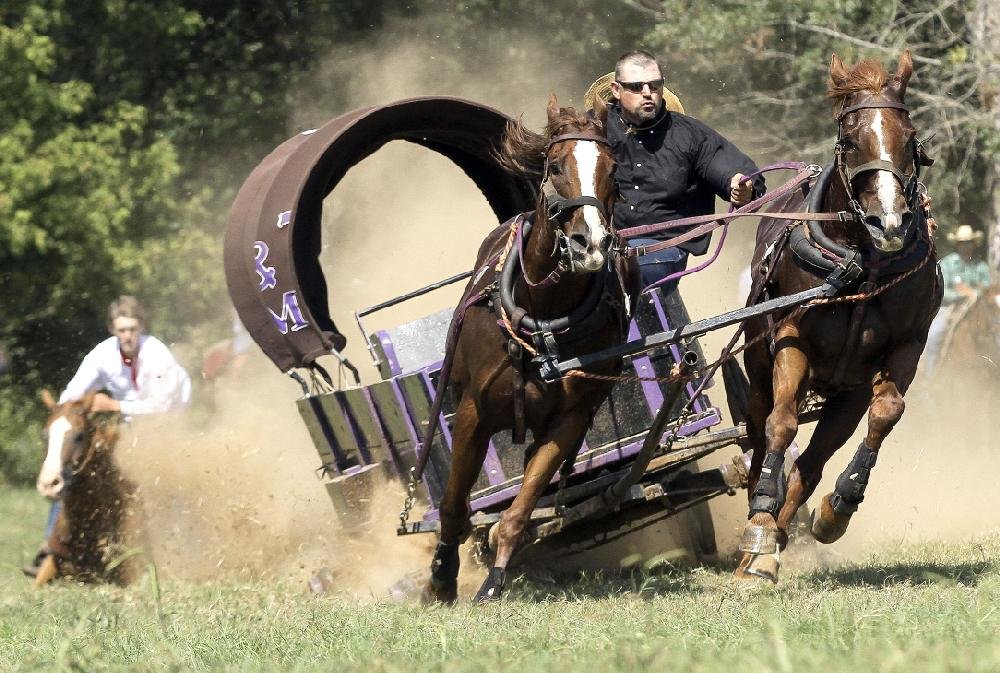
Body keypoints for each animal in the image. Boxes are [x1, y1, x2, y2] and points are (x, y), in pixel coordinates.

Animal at [418, 92, 636, 600]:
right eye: (555, 166)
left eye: (614, 169)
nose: (590, 243)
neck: (545, 317)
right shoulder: (473, 415)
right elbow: (453, 505)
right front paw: (441, 578)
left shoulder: (569, 421)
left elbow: (519, 511)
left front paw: (495, 578)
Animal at [736, 50, 936, 580]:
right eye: (850, 140)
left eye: (910, 138)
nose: (889, 222)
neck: (862, 266)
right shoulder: (791, 340)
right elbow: (781, 424)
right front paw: (760, 519)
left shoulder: (907, 347)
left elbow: (886, 414)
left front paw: (839, 507)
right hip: (757, 368)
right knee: (762, 433)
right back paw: (758, 535)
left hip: (844, 396)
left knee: (811, 462)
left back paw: (780, 540)